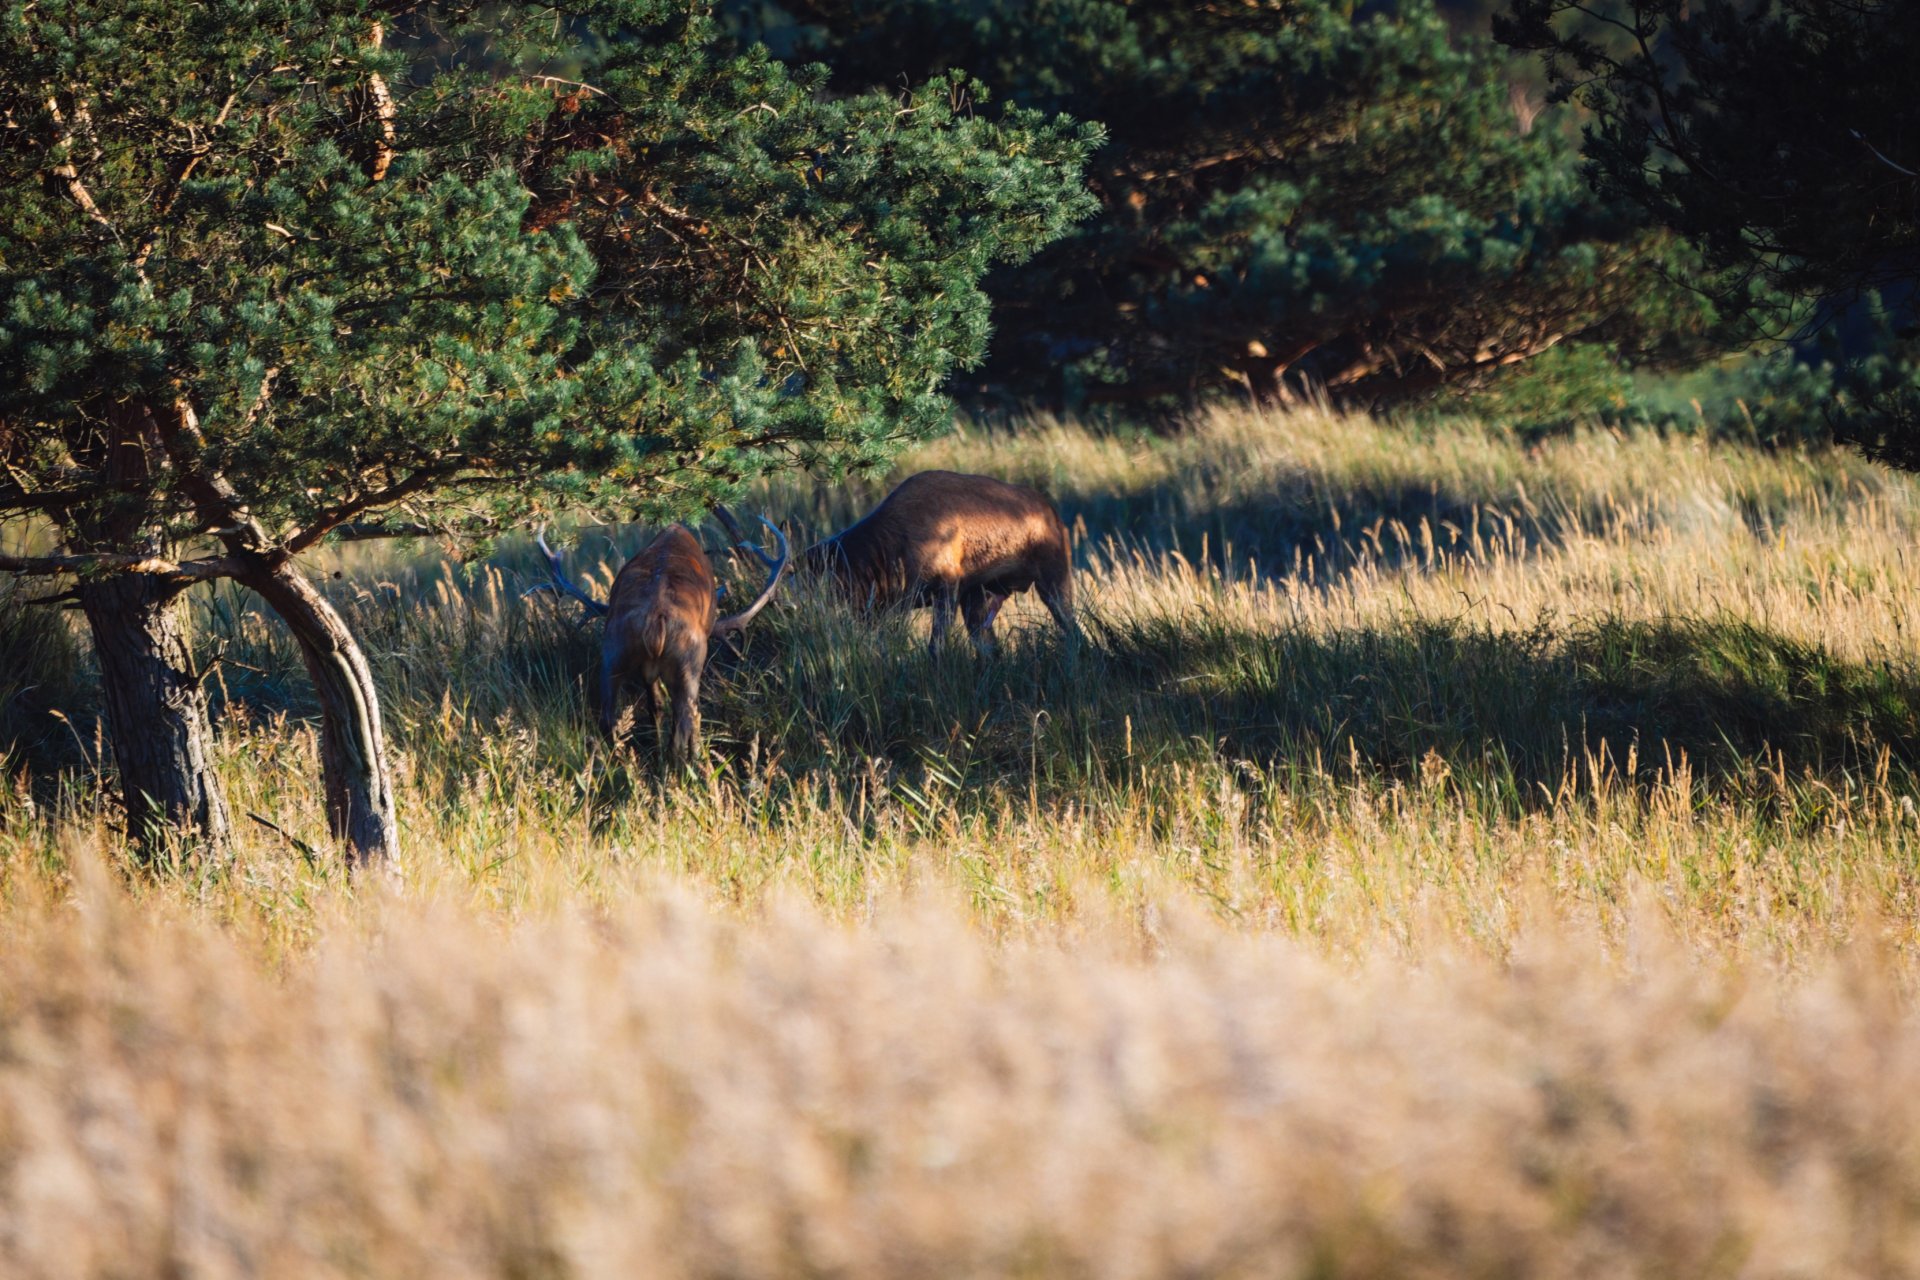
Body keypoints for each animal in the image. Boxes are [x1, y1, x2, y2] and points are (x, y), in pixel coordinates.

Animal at [532, 510, 788, 759]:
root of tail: (656, 623)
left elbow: (655, 705)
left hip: (613, 651)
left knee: (610, 718)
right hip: (689, 660)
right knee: (685, 722)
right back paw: (687, 763)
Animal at [803, 470, 1077, 654]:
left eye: (842, 576)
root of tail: (1054, 516)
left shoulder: (947, 588)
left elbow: (936, 646)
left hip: (1054, 579)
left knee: (1072, 627)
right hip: (978, 596)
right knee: (989, 645)